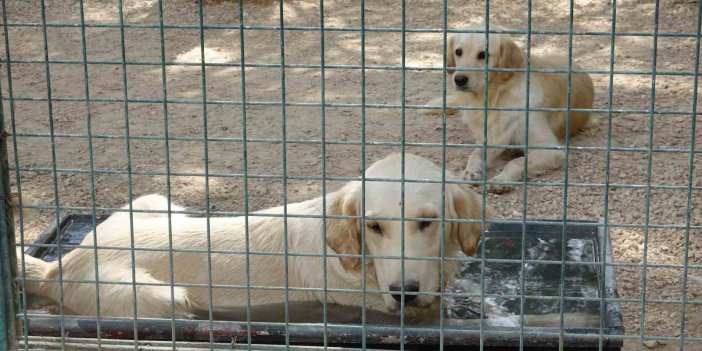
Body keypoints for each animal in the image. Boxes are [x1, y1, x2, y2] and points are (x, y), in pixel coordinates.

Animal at [17, 154, 490, 322]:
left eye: (428, 221)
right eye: (374, 227)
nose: (404, 292)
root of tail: (61, 265)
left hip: (156, 201)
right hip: (162, 298)